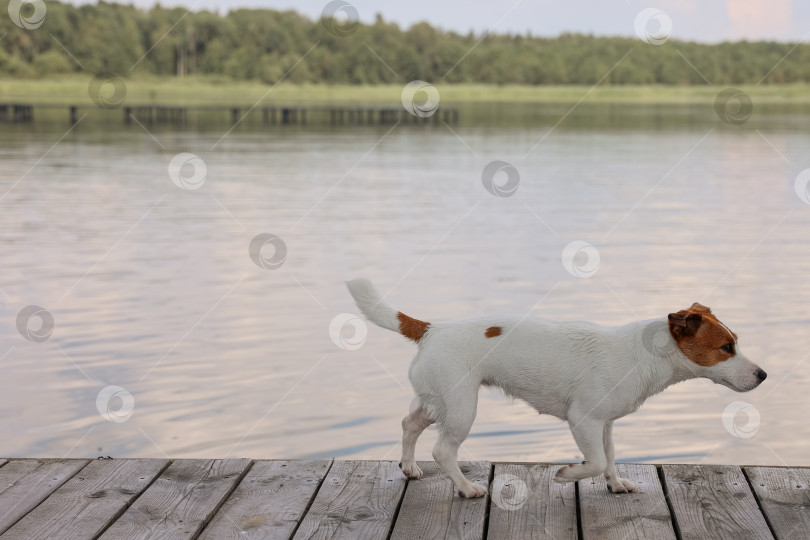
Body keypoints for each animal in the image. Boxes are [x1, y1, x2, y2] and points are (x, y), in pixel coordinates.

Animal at [346, 278, 764, 498]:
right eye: (726, 348)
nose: (763, 375)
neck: (645, 354)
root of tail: (432, 328)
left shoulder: (604, 423)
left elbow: (610, 457)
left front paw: (615, 484)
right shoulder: (583, 420)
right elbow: (595, 461)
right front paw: (566, 475)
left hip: (436, 401)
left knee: (409, 425)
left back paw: (409, 467)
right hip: (461, 408)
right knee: (443, 450)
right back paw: (466, 488)